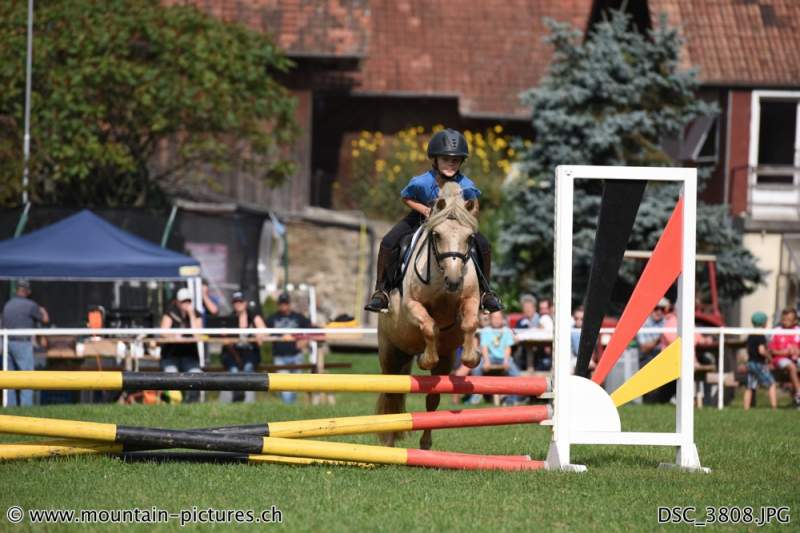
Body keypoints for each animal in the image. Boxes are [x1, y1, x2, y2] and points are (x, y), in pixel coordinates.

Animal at [376, 182, 482, 448]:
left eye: (469, 237)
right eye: (437, 235)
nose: (453, 281)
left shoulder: (471, 300)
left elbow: (469, 323)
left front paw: (471, 358)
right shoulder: (412, 306)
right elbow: (430, 326)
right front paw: (425, 359)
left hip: (442, 360)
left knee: (432, 399)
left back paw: (424, 444)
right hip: (390, 353)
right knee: (391, 396)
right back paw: (389, 445)